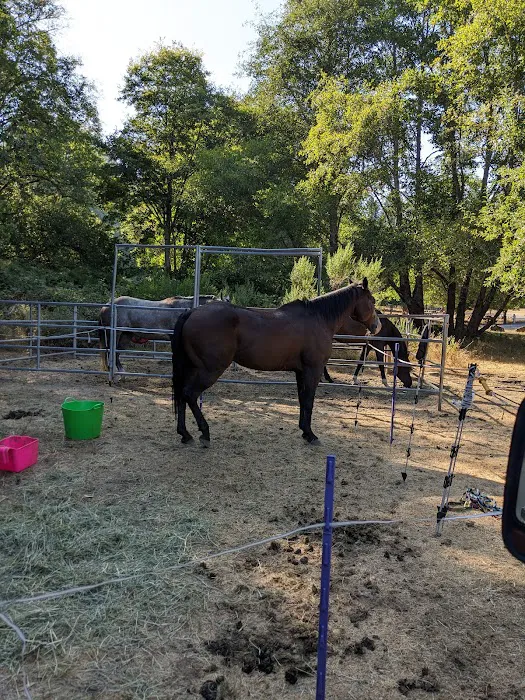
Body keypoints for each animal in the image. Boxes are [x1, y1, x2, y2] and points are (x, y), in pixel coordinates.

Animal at [171, 279, 381, 446]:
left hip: (191, 368)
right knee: (190, 394)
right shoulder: (313, 370)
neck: (319, 318)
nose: (377, 326)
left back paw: (185, 434)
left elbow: (302, 400)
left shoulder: (300, 371)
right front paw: (311, 435)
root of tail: (191, 312)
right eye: (372, 301)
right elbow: (309, 401)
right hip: (210, 370)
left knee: (182, 395)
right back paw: (204, 433)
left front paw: (304, 431)